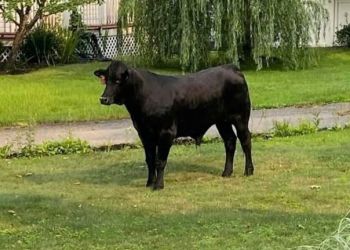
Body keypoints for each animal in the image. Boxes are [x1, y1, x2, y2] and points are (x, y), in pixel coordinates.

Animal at [95, 61, 254, 189]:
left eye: (117, 80)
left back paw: (248, 171)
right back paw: (226, 172)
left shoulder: (166, 132)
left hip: (240, 117)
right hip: (222, 121)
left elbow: (160, 160)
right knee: (230, 141)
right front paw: (149, 183)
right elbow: (150, 160)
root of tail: (231, 68)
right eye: (106, 79)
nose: (103, 99)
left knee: (245, 140)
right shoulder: (144, 133)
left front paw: (158, 185)